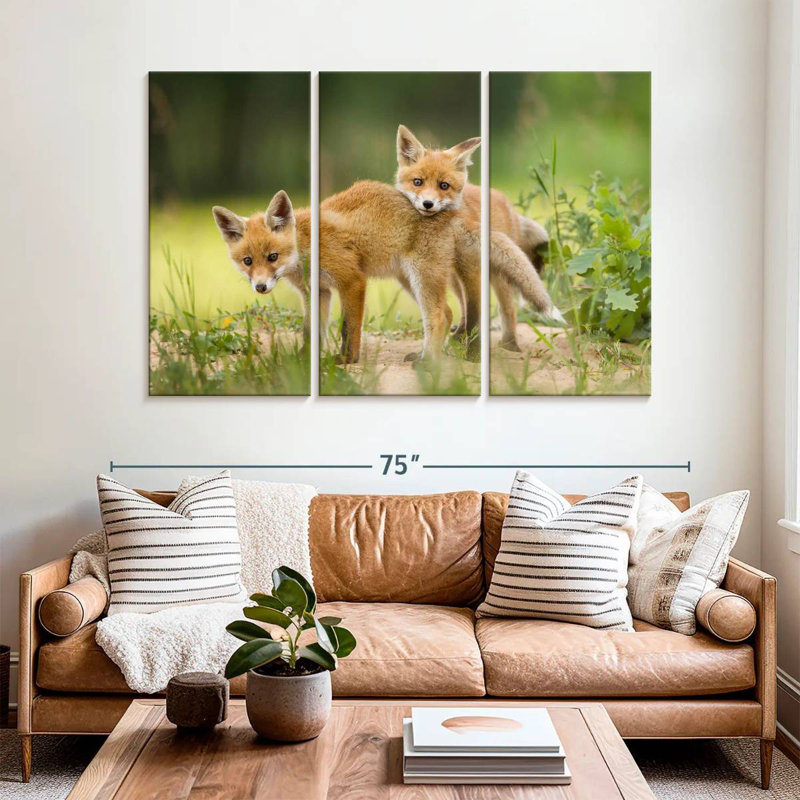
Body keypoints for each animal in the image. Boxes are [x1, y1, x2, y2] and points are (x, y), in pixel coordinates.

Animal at [394, 124, 561, 352]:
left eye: (444, 185)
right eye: (417, 182)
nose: (428, 204)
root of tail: (505, 201)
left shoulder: (471, 269)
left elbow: (476, 309)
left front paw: (471, 344)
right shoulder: (458, 272)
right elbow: (467, 308)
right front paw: (460, 338)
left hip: (498, 274)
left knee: (508, 309)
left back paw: (510, 344)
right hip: (455, 277)